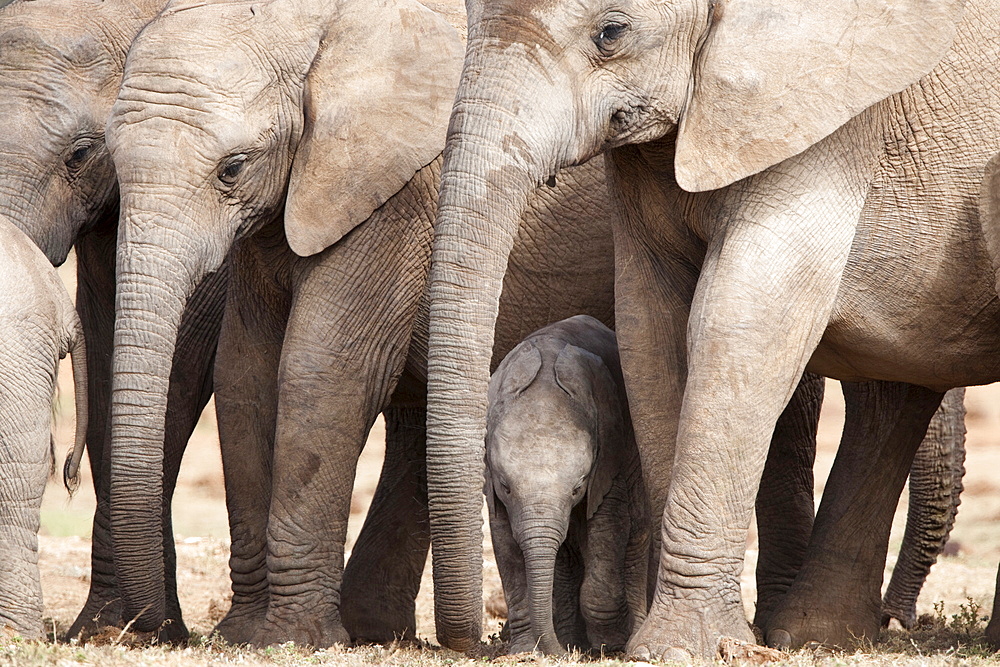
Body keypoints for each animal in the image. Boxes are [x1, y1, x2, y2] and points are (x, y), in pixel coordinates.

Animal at [486, 316, 648, 656]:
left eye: (577, 487)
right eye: (506, 487)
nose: (557, 653)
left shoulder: (609, 456)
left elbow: (608, 528)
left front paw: (609, 646)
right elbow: (504, 541)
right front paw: (525, 650)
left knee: (635, 539)